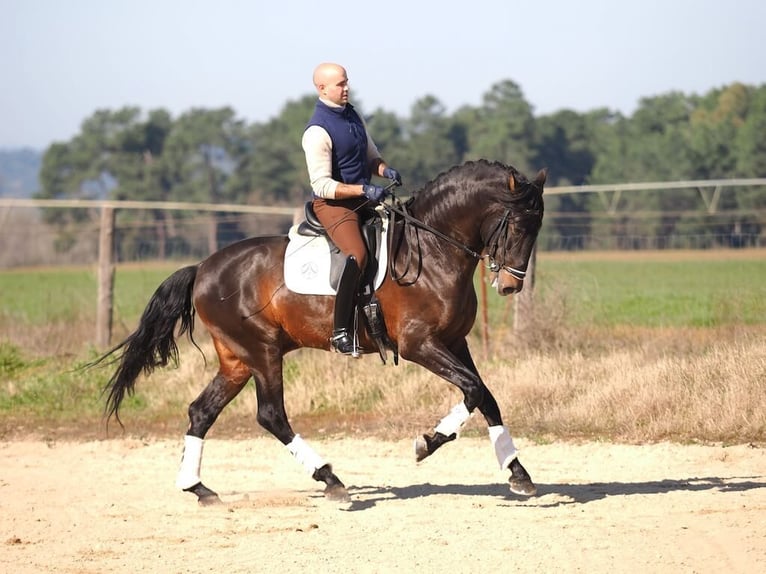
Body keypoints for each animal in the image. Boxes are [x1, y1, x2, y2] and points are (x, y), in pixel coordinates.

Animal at [99, 160, 548, 506]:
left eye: (536, 228)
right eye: (516, 226)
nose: (511, 286)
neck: (432, 250)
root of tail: (202, 268)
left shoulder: (455, 342)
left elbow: (484, 394)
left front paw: (518, 473)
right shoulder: (419, 344)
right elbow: (472, 390)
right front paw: (427, 442)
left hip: (236, 360)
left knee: (201, 412)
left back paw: (198, 488)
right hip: (262, 352)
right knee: (271, 415)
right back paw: (331, 480)